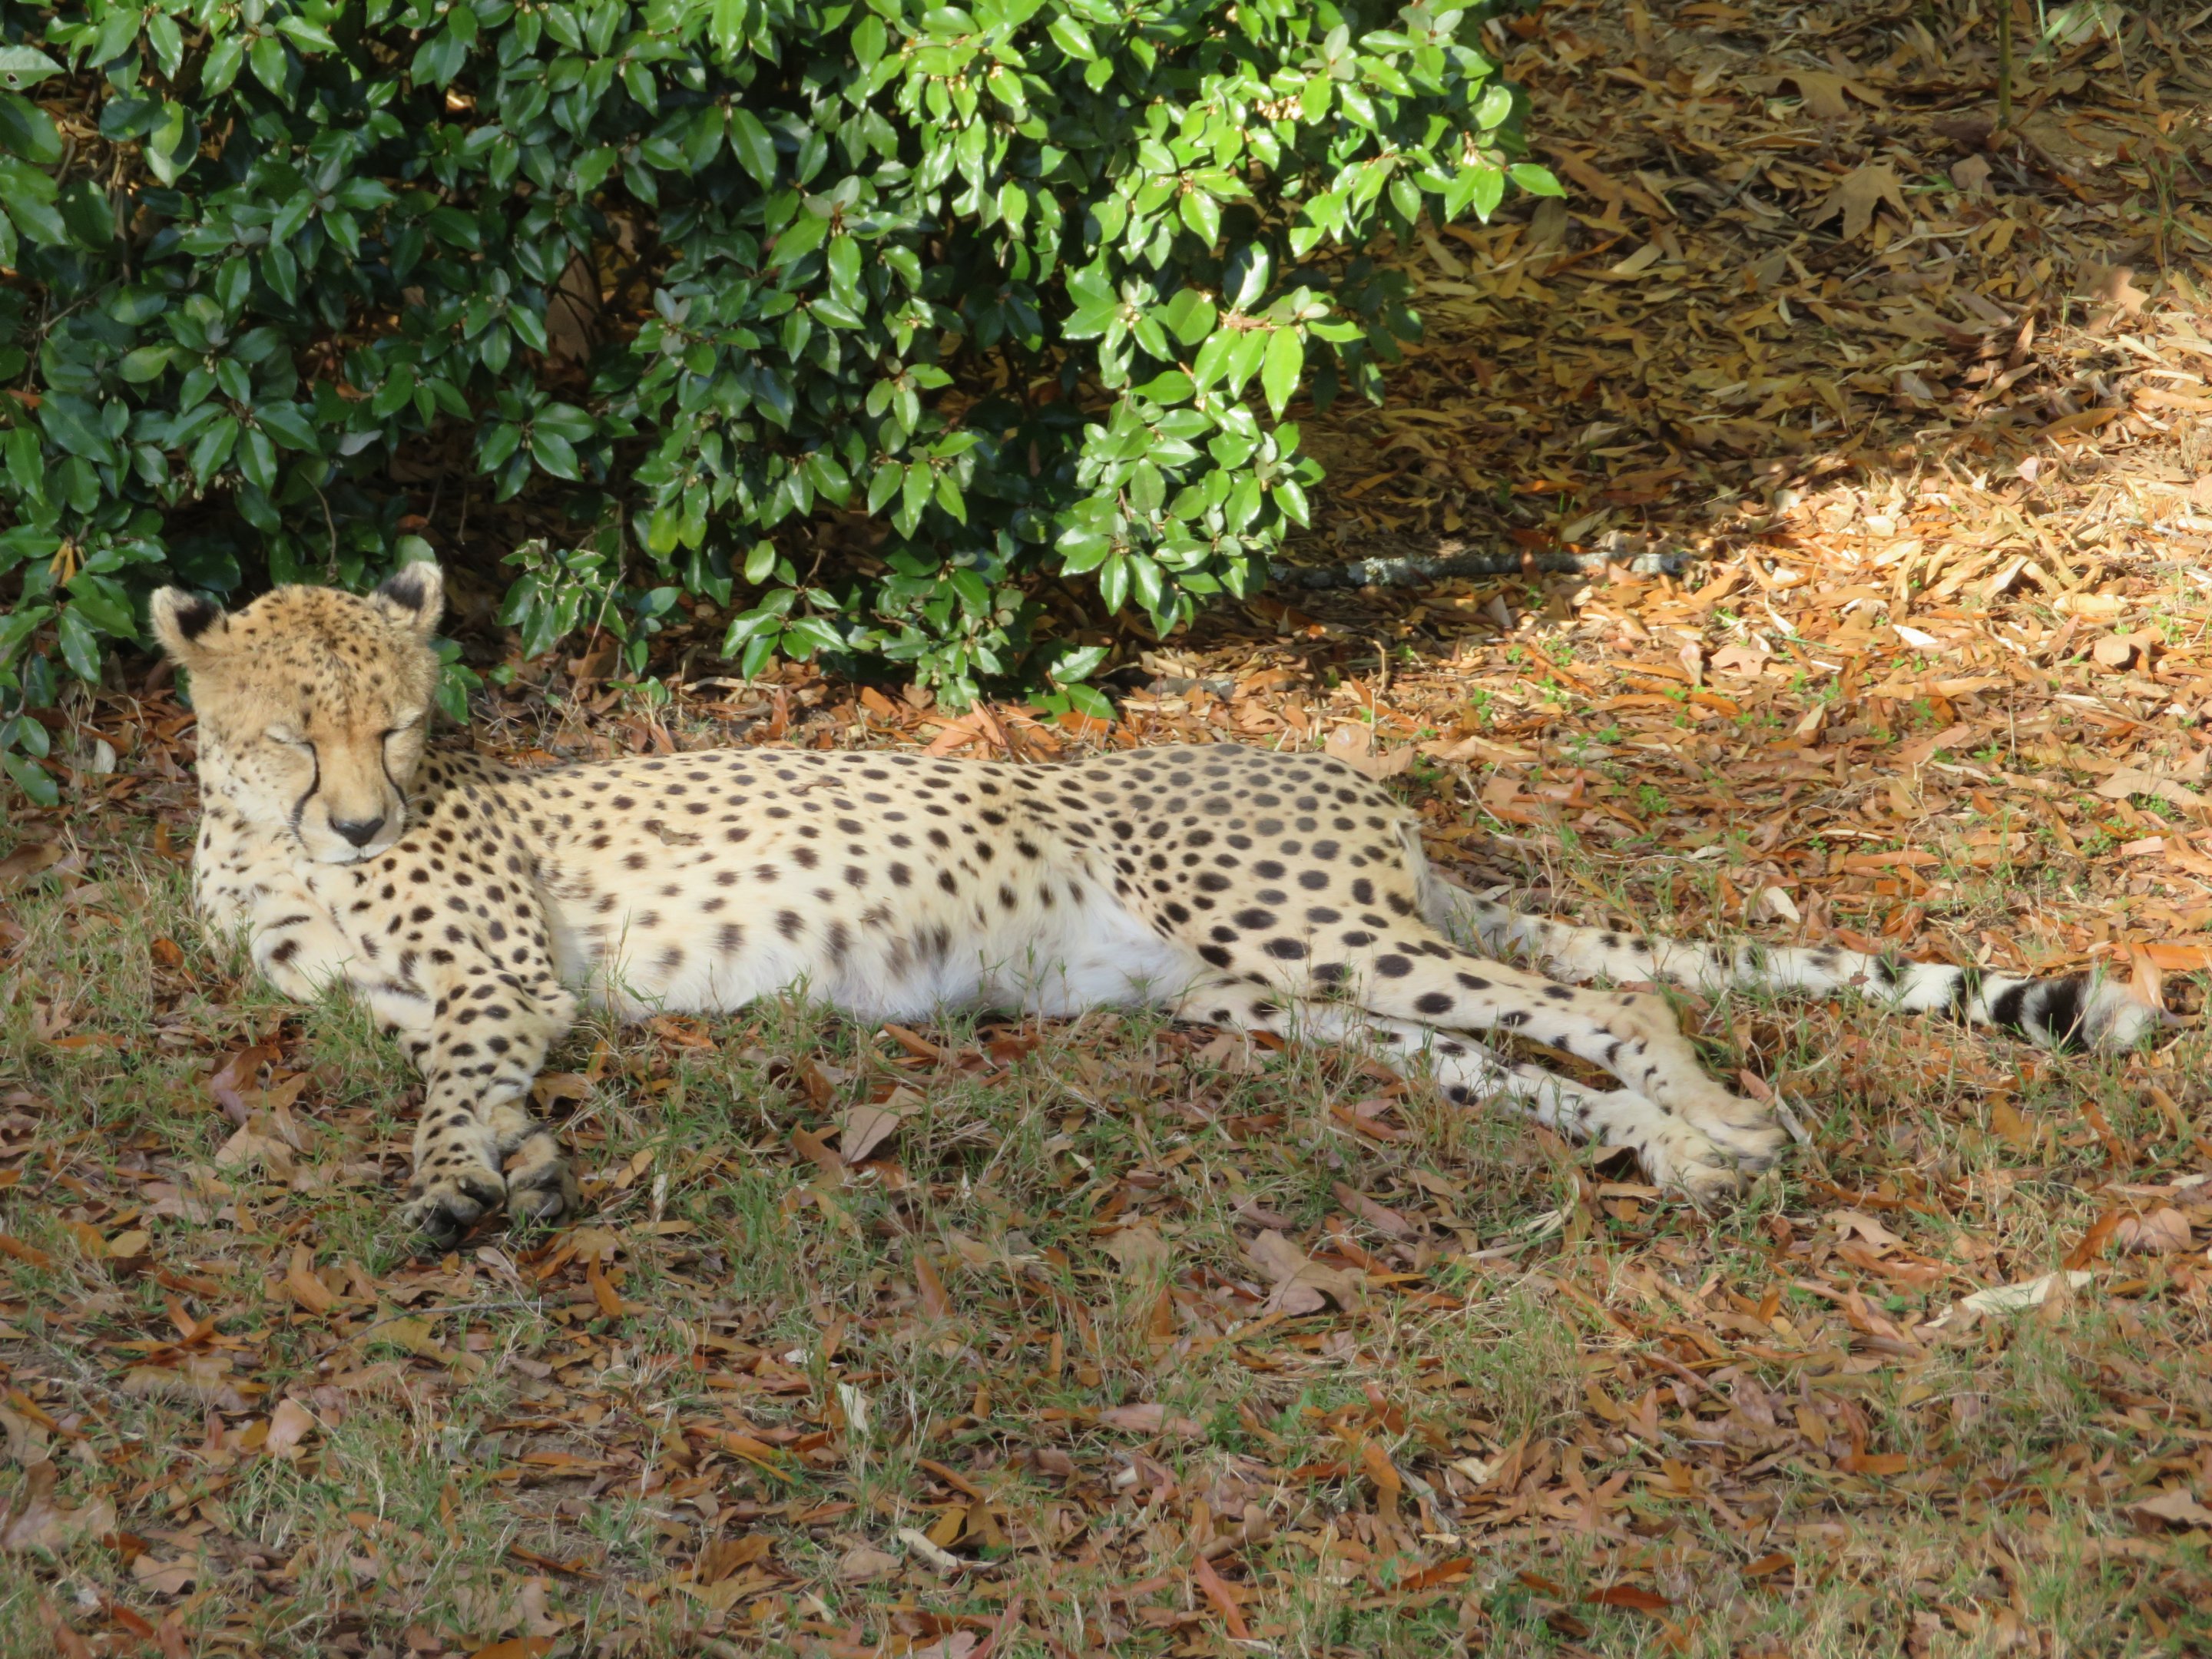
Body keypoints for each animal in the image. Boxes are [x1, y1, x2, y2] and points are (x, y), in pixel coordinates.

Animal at [151, 564, 2162, 1246]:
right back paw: (1670, 1149)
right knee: (1528, 1064)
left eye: (398, 718)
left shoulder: (495, 974)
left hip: (1284, 923)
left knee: (1617, 1006)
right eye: (290, 733)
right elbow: (476, 1082)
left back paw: (1723, 1128)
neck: (263, 847)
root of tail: (1358, 780)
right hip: (1269, 997)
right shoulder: (457, 1002)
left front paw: (450, 1186)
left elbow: (452, 1085)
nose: (359, 819)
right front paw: (518, 1167)